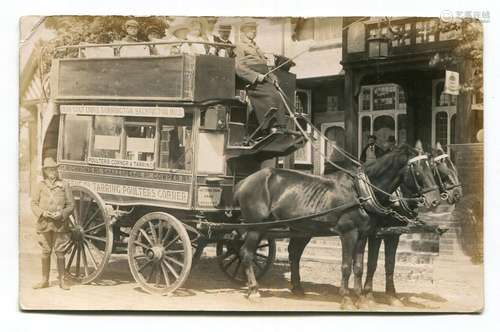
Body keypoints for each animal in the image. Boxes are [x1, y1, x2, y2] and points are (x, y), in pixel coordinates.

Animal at [235, 143, 442, 306]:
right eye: (417, 170)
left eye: (431, 168)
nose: (435, 200)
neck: (360, 191)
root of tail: (245, 181)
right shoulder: (348, 233)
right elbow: (346, 266)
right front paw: (346, 299)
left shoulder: (363, 234)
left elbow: (359, 267)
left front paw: (361, 299)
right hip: (256, 227)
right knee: (246, 253)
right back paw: (253, 289)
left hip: (300, 229)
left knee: (293, 253)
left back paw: (297, 289)